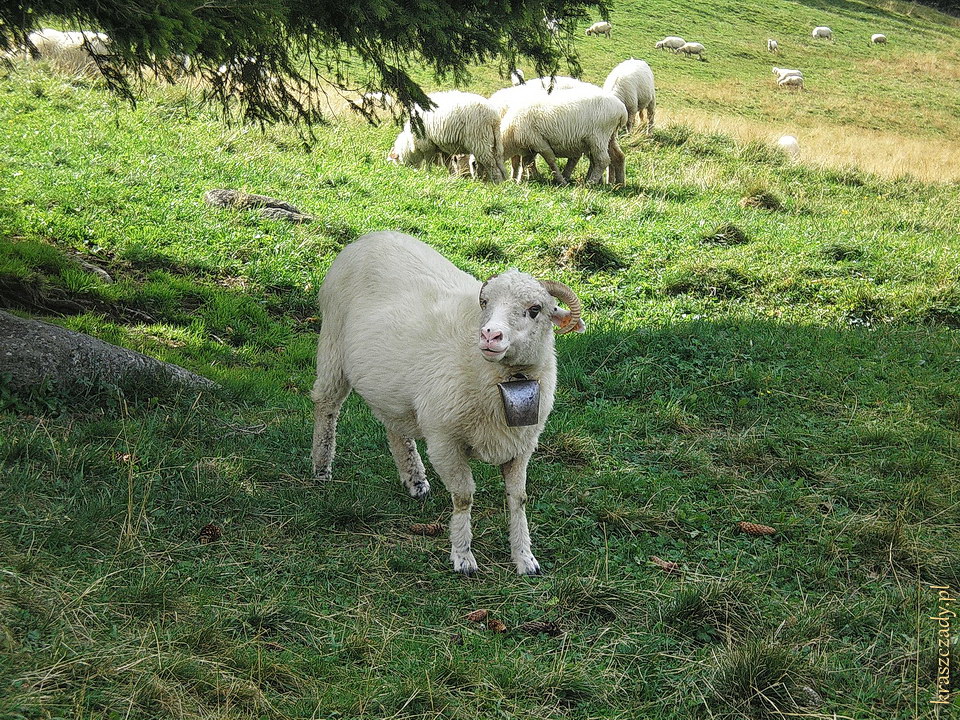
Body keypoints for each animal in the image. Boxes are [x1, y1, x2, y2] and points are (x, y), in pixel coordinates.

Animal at [314, 231, 584, 572]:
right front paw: (463, 555)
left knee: (394, 427)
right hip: (332, 343)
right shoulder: (444, 441)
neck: (506, 379)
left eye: (535, 309)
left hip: (391, 384)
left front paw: (524, 557)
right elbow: (463, 497)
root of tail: (372, 236)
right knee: (326, 405)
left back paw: (415, 480)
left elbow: (518, 498)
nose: (490, 335)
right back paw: (321, 469)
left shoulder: (523, 444)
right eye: (486, 303)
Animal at [496, 85, 632, 184]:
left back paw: (591, 183)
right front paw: (521, 180)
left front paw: (561, 181)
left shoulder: (539, 143)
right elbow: (526, 163)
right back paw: (619, 184)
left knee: (602, 160)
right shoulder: (530, 147)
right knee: (618, 156)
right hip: (609, 137)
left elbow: (550, 161)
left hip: (598, 137)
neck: (510, 133)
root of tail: (622, 110)